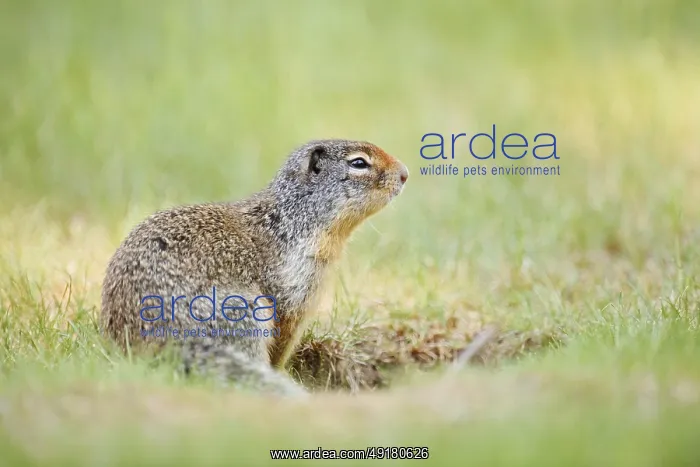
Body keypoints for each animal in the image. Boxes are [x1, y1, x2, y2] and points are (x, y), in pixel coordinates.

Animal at [100, 139, 409, 396]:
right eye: (358, 163)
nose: (405, 173)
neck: (292, 219)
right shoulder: (291, 293)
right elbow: (282, 342)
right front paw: (282, 374)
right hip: (241, 313)